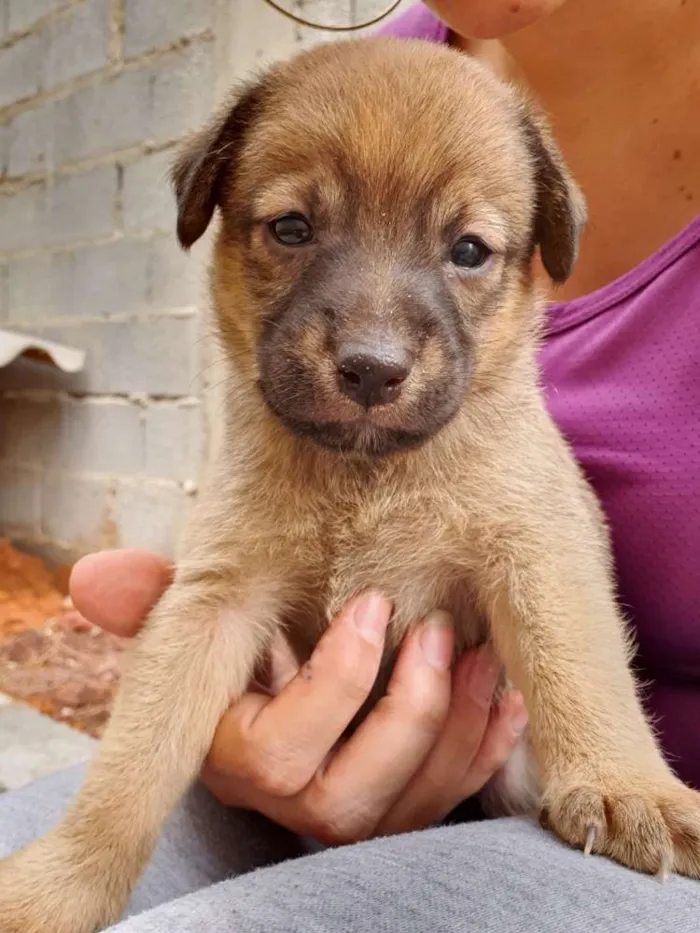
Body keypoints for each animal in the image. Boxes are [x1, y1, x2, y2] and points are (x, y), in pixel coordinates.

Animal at [1, 36, 700, 932]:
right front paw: (57, 883)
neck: (366, 477)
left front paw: (625, 788)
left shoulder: (539, 555)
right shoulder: (214, 599)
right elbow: (131, 767)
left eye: (468, 249)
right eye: (292, 228)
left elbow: (581, 668)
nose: (372, 368)